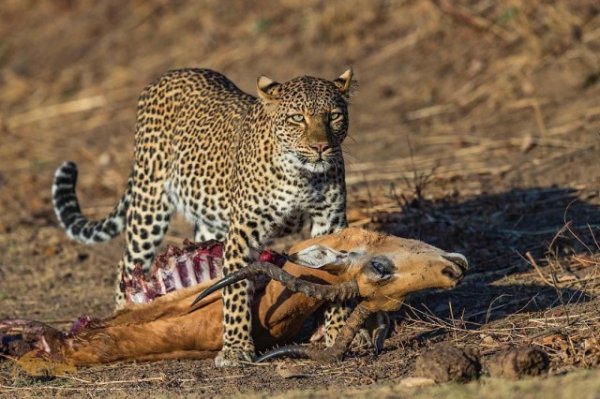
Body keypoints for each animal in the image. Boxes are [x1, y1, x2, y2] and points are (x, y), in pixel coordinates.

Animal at [52, 67, 356, 368]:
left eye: (333, 116)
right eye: (297, 118)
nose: (320, 147)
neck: (302, 176)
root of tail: (170, 74)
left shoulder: (331, 224)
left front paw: (339, 331)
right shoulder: (242, 234)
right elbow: (235, 291)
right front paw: (236, 348)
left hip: (207, 219)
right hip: (149, 201)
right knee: (128, 263)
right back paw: (123, 314)